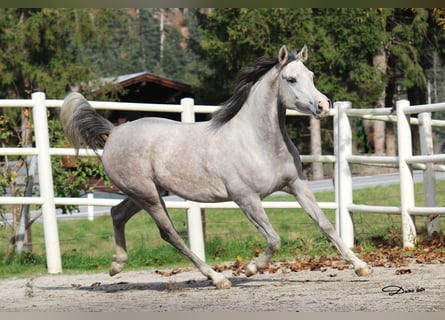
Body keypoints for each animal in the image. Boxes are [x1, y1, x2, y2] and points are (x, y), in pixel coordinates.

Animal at [59, 45, 372, 290]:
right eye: (291, 78)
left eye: (312, 76)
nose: (323, 105)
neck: (258, 141)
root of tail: (113, 133)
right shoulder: (246, 198)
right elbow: (273, 239)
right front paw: (250, 269)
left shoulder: (297, 186)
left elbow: (327, 225)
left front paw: (360, 266)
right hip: (148, 196)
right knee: (170, 234)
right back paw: (217, 278)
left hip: (144, 193)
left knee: (117, 213)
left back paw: (116, 266)